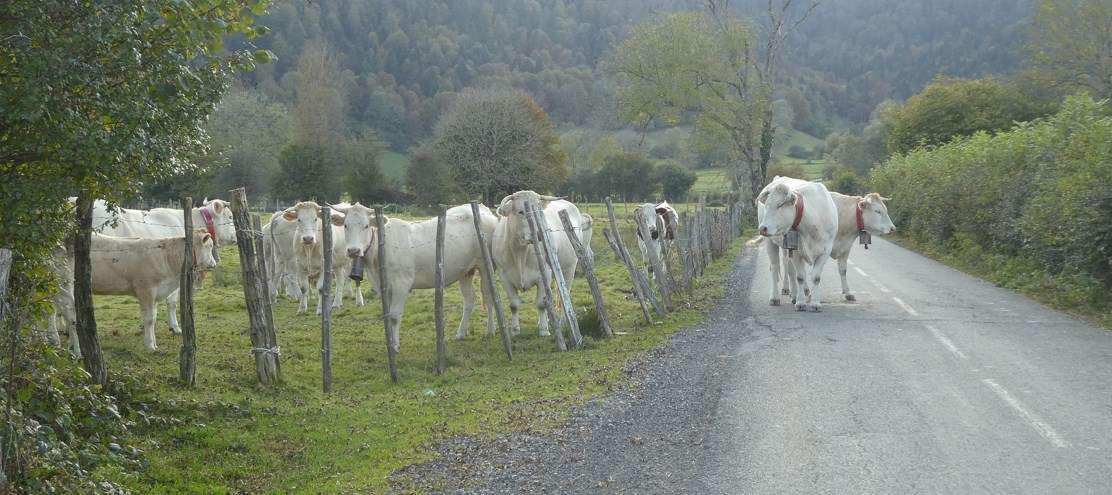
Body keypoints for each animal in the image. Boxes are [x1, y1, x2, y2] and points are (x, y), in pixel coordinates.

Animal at [56, 229, 219, 353]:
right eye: (209, 246)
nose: (214, 264)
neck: (165, 257)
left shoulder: (155, 295)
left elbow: (153, 318)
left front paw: (153, 342)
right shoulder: (146, 291)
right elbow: (149, 319)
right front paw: (150, 345)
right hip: (63, 282)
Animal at [329, 202, 500, 353]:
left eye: (365, 226)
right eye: (345, 225)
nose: (353, 251)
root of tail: (484, 210)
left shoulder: (401, 284)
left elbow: (394, 316)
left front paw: (395, 346)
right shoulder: (385, 288)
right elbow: (388, 315)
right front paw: (390, 343)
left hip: (486, 265)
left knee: (489, 296)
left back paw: (490, 330)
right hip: (465, 271)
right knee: (469, 299)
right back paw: (461, 333)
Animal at [489, 189, 591, 335]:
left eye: (538, 212)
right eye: (520, 211)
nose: (538, 233)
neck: (520, 252)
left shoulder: (545, 274)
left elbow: (541, 304)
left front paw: (544, 330)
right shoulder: (504, 277)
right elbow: (514, 305)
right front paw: (515, 330)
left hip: (569, 268)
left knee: (563, 297)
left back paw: (562, 323)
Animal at [760, 176, 836, 309]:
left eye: (780, 205)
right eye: (767, 205)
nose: (762, 228)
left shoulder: (825, 251)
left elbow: (816, 277)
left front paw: (815, 303)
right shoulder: (797, 252)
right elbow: (800, 276)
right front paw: (800, 302)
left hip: (786, 246)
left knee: (788, 268)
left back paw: (793, 293)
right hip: (769, 241)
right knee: (775, 267)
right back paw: (775, 297)